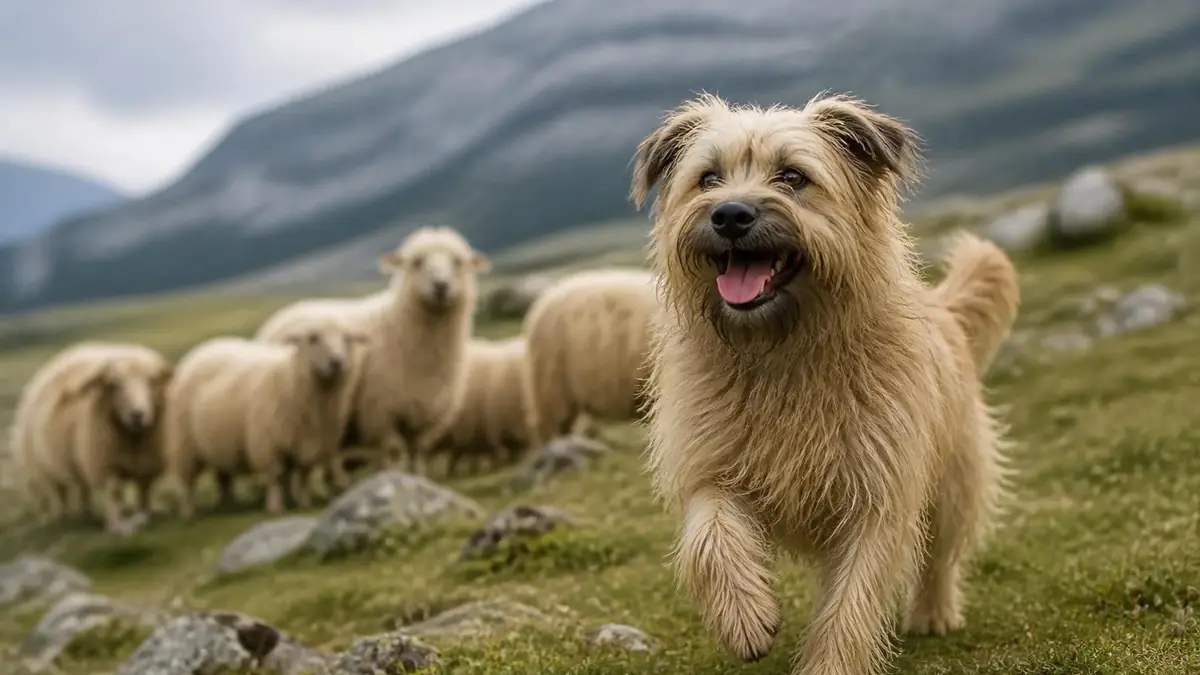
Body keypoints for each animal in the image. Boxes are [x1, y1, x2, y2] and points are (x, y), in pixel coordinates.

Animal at [10, 341, 173, 532]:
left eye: (152, 380)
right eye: (114, 384)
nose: (137, 415)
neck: (133, 438)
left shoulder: (148, 465)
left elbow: (145, 492)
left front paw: (146, 515)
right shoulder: (104, 467)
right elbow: (114, 494)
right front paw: (117, 526)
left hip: (75, 462)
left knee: (82, 489)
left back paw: (85, 515)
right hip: (43, 468)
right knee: (57, 494)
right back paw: (58, 518)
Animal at [165, 317, 366, 519]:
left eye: (347, 339)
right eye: (313, 338)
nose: (337, 362)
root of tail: (205, 347)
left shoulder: (310, 443)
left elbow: (303, 475)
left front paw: (302, 502)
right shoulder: (267, 444)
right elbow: (275, 477)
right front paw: (275, 508)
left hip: (219, 443)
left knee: (224, 477)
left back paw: (228, 505)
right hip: (184, 445)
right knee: (188, 483)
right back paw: (189, 513)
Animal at [253, 226, 489, 476]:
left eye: (457, 262)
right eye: (416, 262)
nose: (441, 286)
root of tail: (279, 316)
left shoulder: (423, 413)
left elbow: (416, 454)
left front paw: (417, 477)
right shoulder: (379, 413)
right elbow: (389, 454)